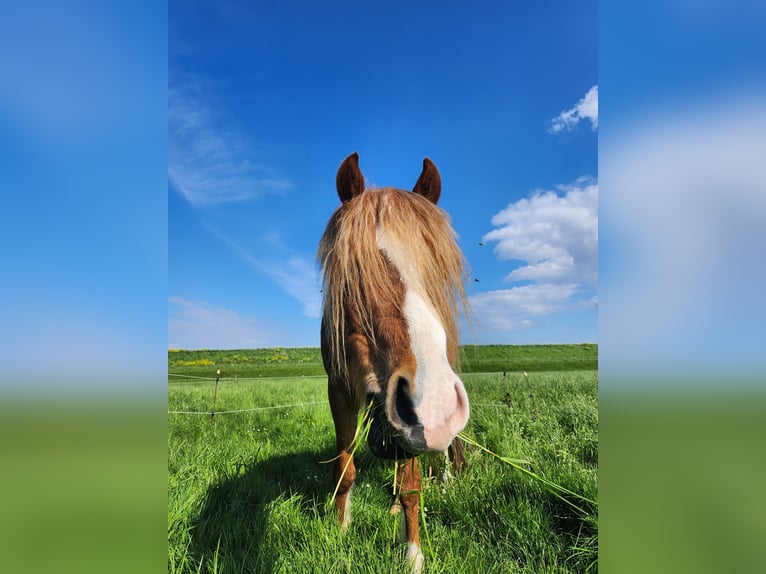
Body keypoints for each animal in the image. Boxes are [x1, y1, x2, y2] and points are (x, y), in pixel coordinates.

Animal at [316, 153, 472, 572]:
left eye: (439, 272)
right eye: (353, 271)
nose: (433, 404)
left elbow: (411, 487)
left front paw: (413, 554)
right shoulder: (340, 390)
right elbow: (345, 468)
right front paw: (340, 529)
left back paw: (447, 482)